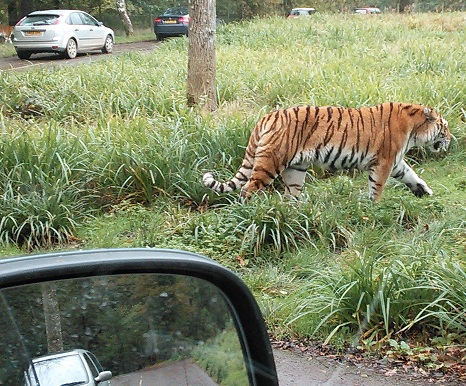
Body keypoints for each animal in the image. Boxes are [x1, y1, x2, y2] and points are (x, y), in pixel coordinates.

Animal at [204, 102, 452, 202]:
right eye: (445, 126)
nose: (452, 139)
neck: (414, 129)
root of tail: (265, 117)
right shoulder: (384, 161)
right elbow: (377, 187)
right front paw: (373, 207)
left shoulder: (396, 161)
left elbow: (411, 175)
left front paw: (424, 191)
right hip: (270, 162)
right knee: (247, 189)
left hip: (296, 169)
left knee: (290, 195)